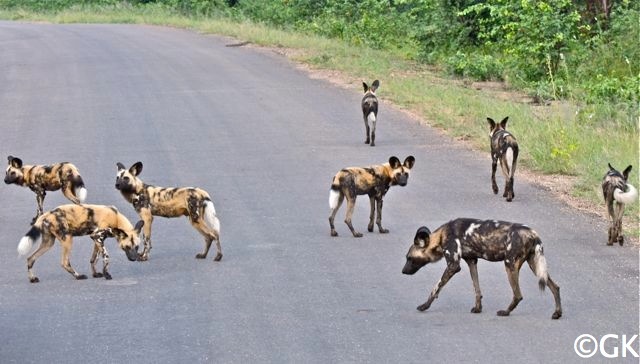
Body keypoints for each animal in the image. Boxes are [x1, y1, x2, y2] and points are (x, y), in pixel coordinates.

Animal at [16, 203, 144, 282]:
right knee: (64, 262)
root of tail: (47, 213)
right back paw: (78, 276)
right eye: (127, 247)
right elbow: (106, 257)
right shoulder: (97, 237)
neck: (116, 218)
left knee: (30, 258)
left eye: (137, 247)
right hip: (67, 240)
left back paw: (32, 279)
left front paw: (96, 274)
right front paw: (107, 274)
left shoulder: (97, 240)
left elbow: (94, 259)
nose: (134, 259)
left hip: (48, 243)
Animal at [402, 218, 564, 320]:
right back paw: (557, 313)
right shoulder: (472, 262)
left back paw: (505, 312)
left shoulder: (453, 266)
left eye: (409, 258)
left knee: (518, 295)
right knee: (555, 287)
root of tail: (533, 234)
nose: (403, 271)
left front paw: (424, 306)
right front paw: (478, 308)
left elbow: (436, 288)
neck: (442, 236)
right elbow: (477, 290)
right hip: (534, 266)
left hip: (510, 265)